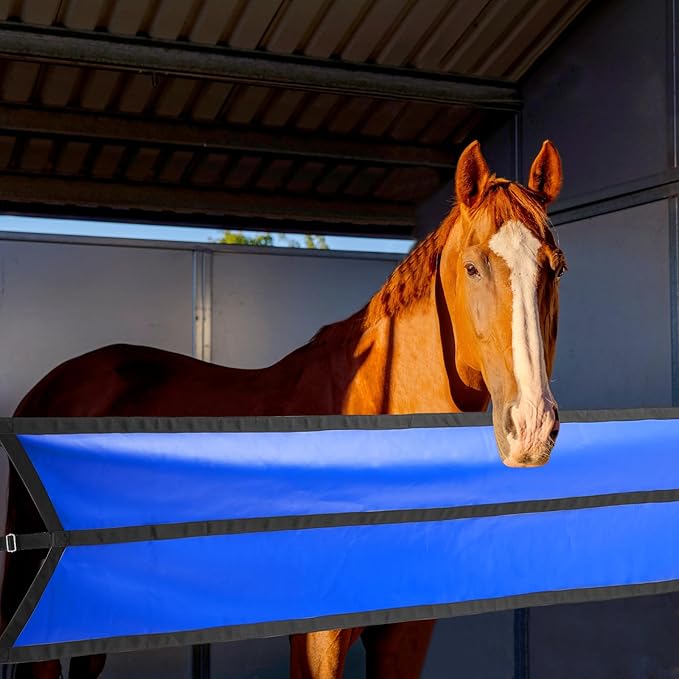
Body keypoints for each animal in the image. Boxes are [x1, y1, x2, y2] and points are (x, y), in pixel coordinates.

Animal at [5, 139, 564, 679]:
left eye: (557, 268)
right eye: (472, 266)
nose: (532, 426)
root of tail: (54, 383)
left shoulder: (407, 633)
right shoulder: (319, 638)